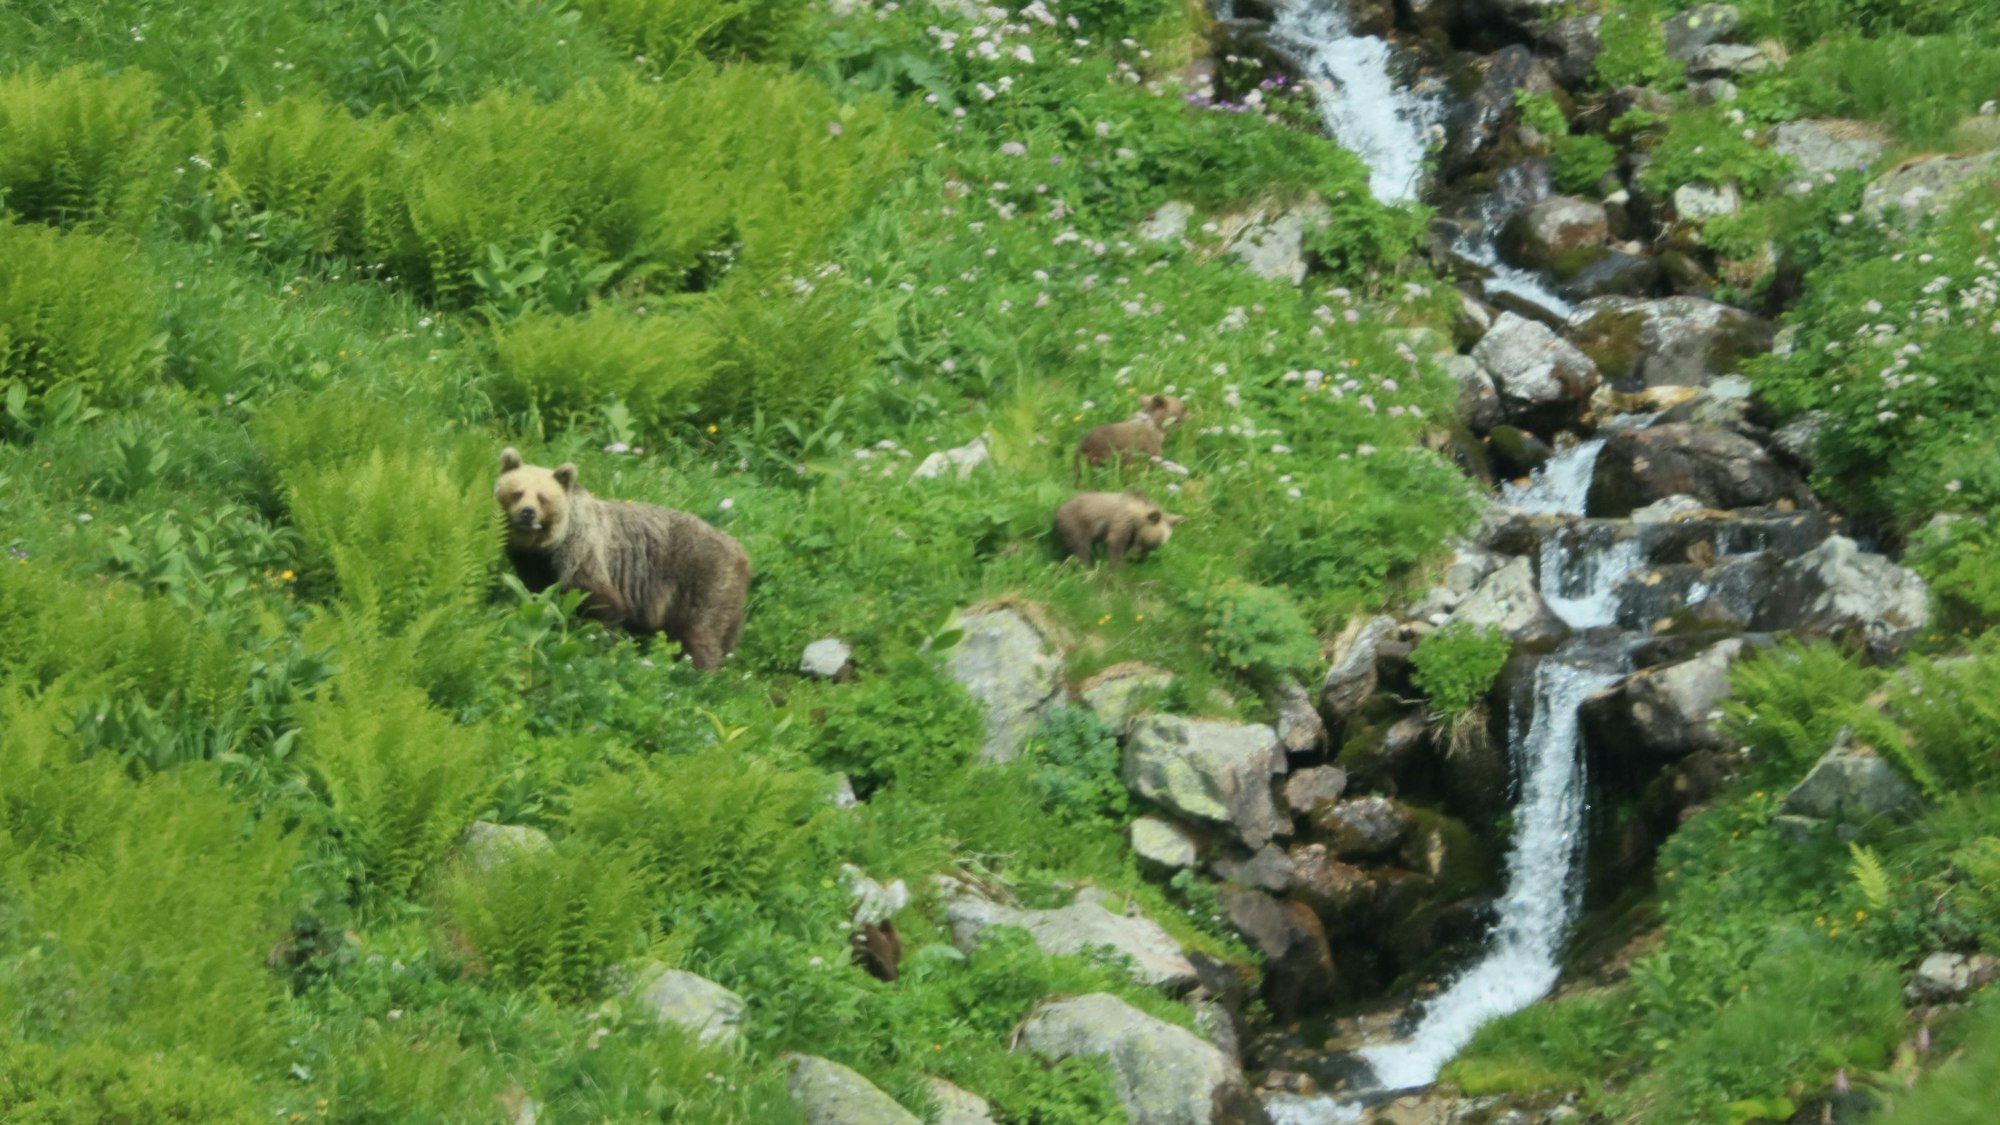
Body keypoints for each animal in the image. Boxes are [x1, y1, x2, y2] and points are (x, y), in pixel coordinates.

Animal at [494, 448, 749, 670]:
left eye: (543, 497)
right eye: (517, 492)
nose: (527, 512)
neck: (546, 544)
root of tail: (742, 554)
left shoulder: (582, 554)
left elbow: (601, 602)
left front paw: (602, 643)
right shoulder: (531, 563)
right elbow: (536, 593)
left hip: (703, 581)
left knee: (701, 631)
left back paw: (699, 672)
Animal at [1054, 489, 1184, 569]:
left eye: (1154, 547)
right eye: (1146, 542)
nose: (1140, 559)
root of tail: (1058, 511)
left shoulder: (1131, 533)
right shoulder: (1123, 520)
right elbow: (1116, 543)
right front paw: (1118, 569)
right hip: (1077, 523)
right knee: (1081, 547)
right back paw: (1087, 568)